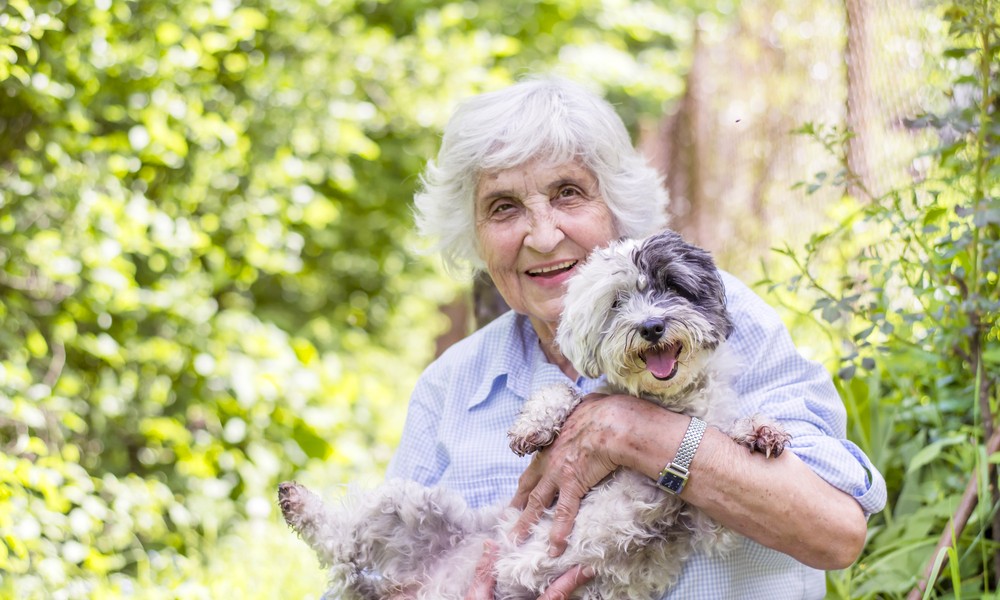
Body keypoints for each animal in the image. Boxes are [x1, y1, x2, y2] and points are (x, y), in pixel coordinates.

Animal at [276, 230, 788, 600]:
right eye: (617, 302)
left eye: (673, 286)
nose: (651, 326)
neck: (663, 402)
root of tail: (419, 585)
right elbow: (564, 390)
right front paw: (534, 426)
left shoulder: (702, 520)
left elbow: (720, 437)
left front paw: (759, 430)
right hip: (409, 505)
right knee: (342, 542)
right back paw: (297, 502)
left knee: (345, 552)